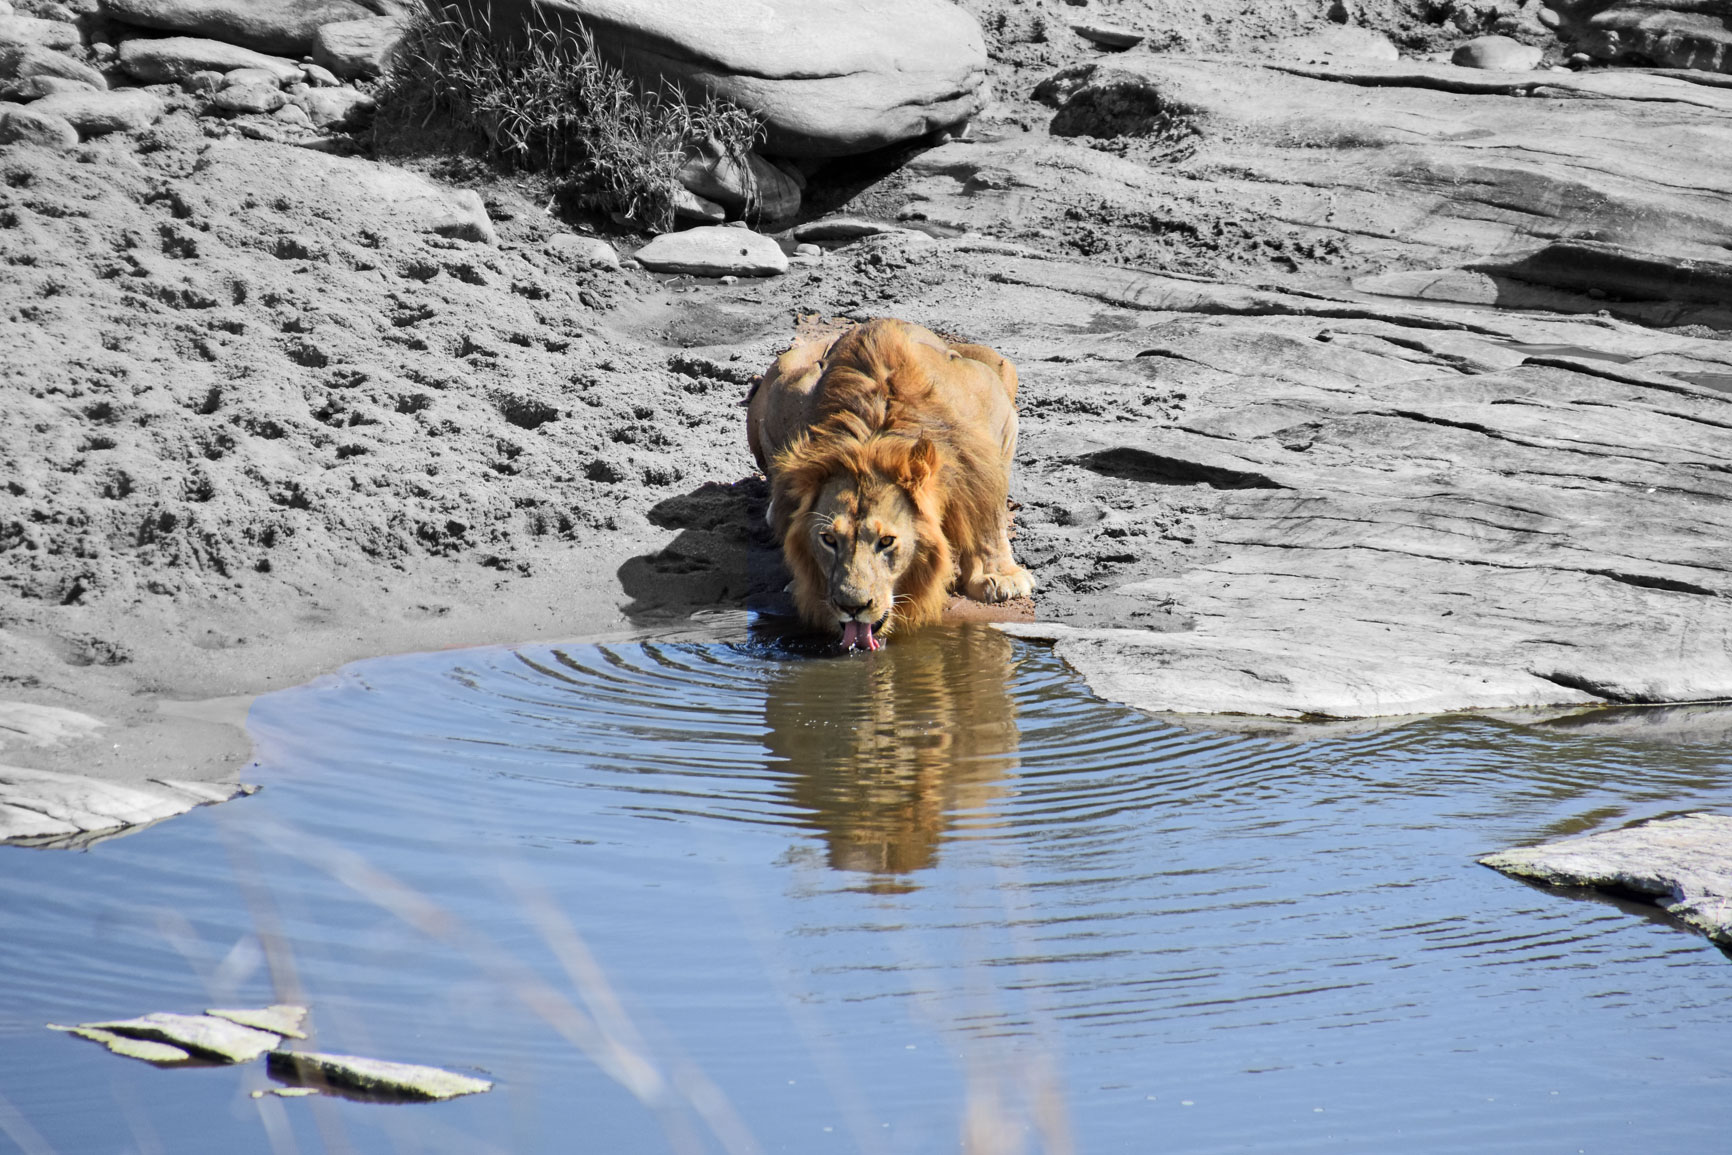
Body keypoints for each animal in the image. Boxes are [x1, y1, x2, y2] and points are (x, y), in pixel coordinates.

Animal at [746, 318, 1035, 650]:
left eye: (886, 541)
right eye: (828, 539)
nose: (852, 607)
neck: (873, 433)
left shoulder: (994, 410)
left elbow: (990, 508)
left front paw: (1000, 577)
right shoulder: (784, 404)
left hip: (999, 363)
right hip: (780, 374)